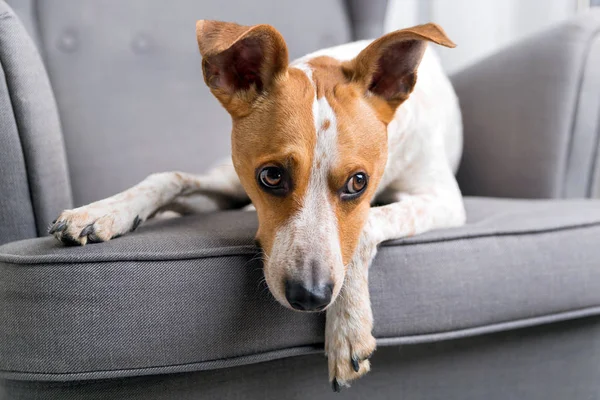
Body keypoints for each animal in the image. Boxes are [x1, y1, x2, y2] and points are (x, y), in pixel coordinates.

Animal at [49, 19, 466, 390]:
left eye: (358, 182)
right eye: (271, 176)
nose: (310, 296)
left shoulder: (445, 201)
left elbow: (367, 225)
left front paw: (348, 327)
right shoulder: (234, 181)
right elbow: (170, 177)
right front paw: (101, 211)